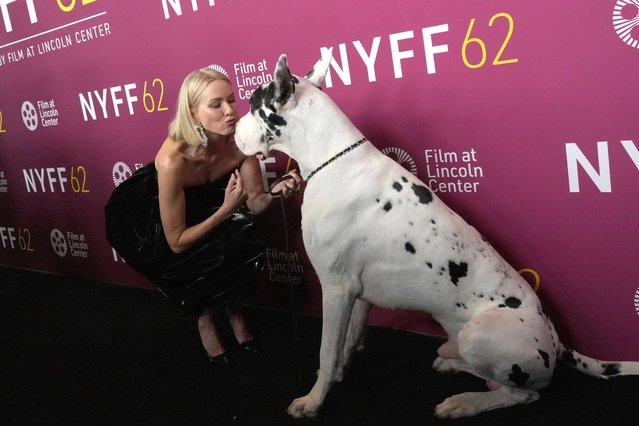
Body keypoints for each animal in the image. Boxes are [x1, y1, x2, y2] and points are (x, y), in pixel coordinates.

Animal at [235, 50, 639, 420]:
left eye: (253, 106)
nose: (233, 132)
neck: (332, 159)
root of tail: (555, 339)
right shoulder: (356, 292)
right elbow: (346, 342)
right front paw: (340, 371)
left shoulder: (334, 287)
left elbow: (325, 351)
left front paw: (314, 399)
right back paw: (452, 362)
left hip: (481, 334)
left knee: (522, 393)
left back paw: (466, 402)